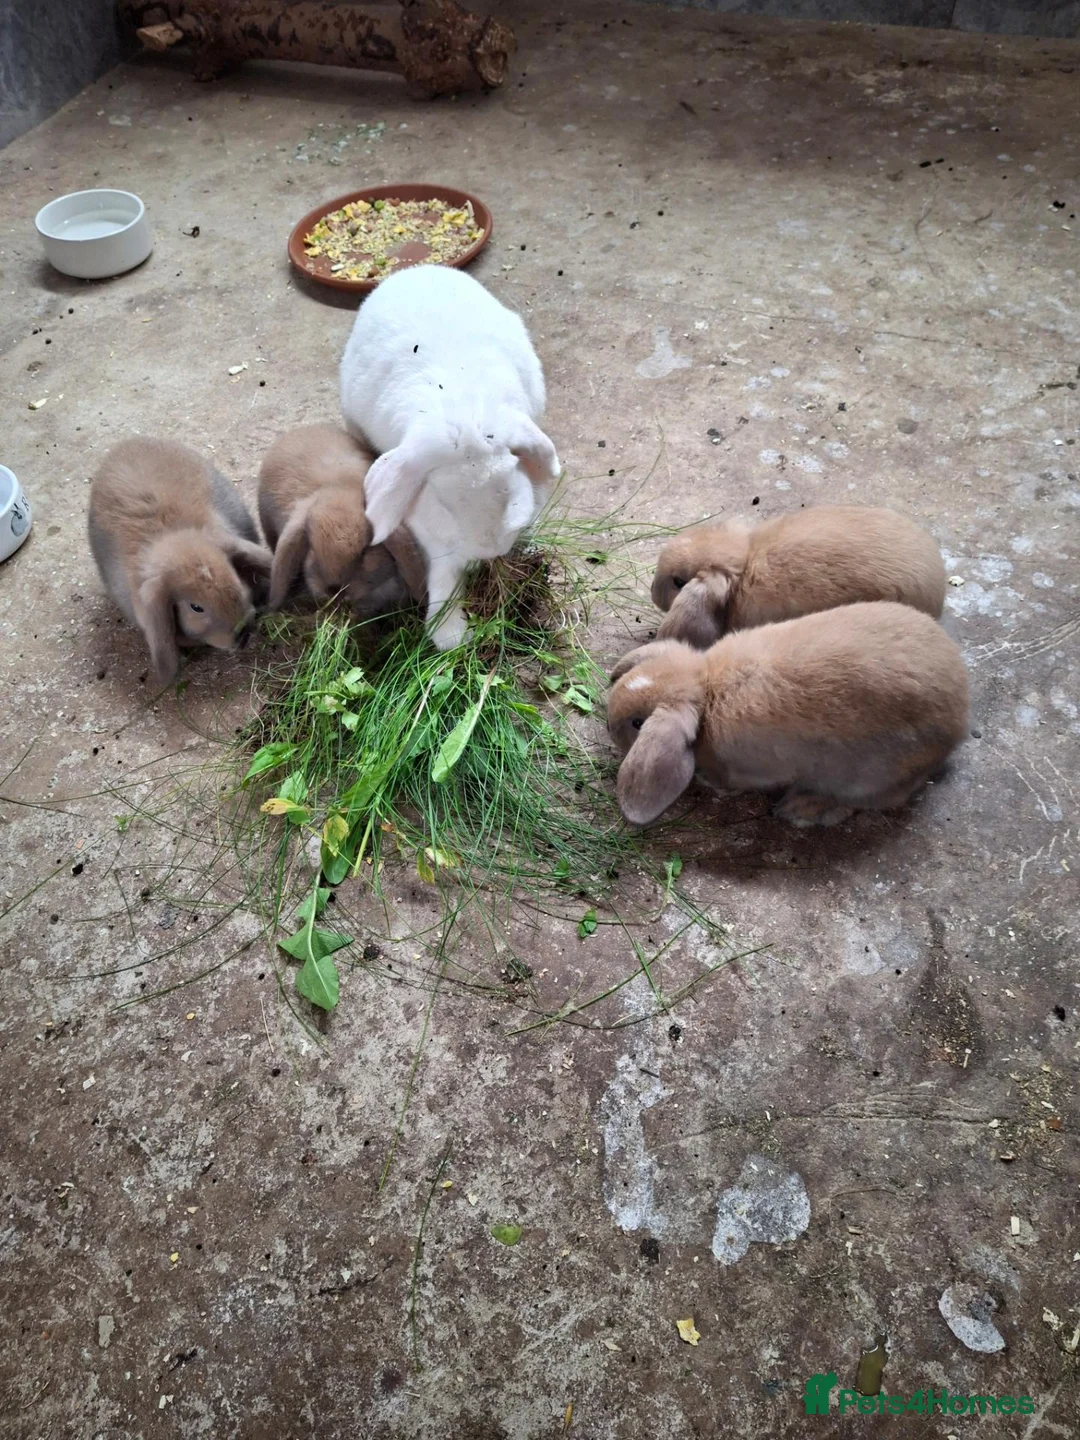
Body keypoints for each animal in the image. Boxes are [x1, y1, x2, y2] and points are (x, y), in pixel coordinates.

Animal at [339, 264, 561, 650]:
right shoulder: (432, 537)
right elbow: (443, 571)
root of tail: (419, 269)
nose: (491, 551)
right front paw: (452, 634)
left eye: (510, 488)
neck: (466, 410)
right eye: (443, 501)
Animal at [607, 601, 968, 828]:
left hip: (871, 776)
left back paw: (804, 809)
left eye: (638, 724)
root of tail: (960, 716)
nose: (609, 725)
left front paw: (712, 782)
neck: (706, 690)